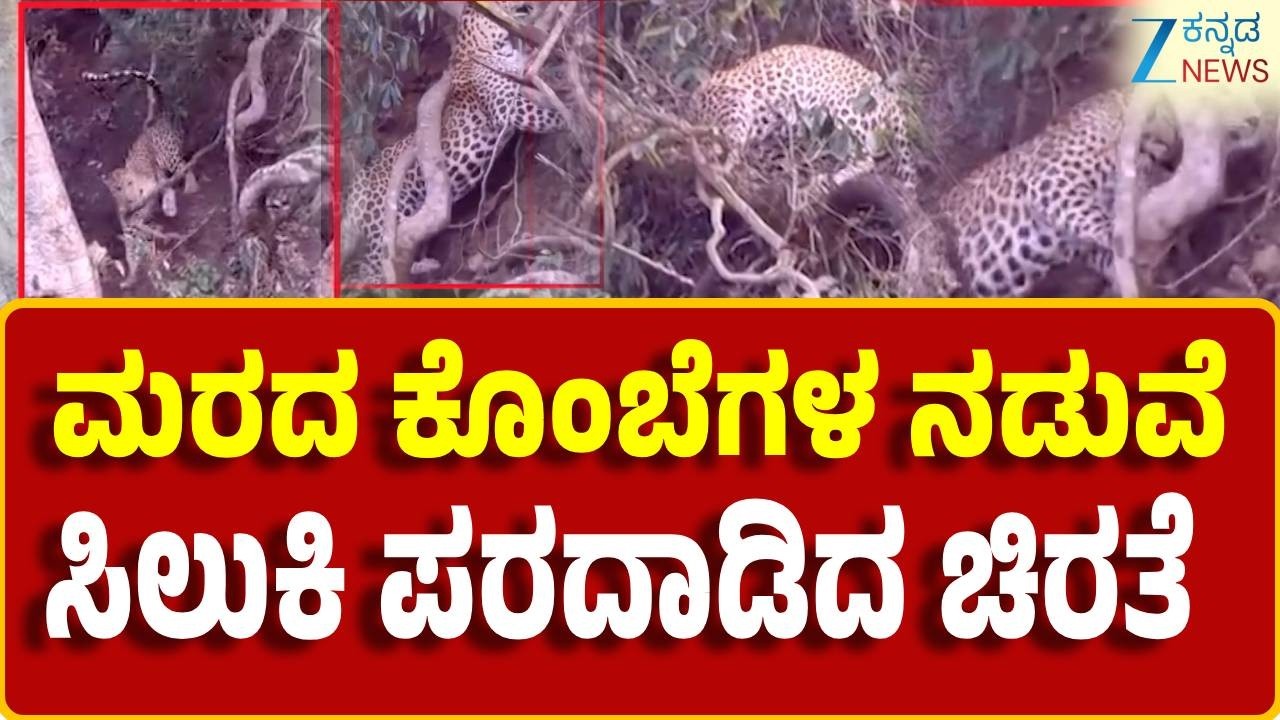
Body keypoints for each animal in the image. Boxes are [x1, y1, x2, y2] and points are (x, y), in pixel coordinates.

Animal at [340, 2, 567, 286]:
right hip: (383, 217)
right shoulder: (511, 108)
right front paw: (573, 114)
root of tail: (357, 185)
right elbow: (547, 114)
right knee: (367, 269)